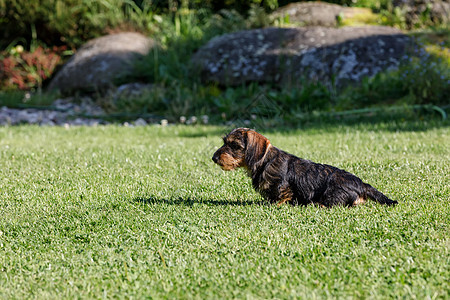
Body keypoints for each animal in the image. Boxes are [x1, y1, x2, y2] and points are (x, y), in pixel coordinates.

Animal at [213, 127, 400, 207]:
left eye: (234, 145)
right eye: (224, 142)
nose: (214, 158)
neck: (265, 161)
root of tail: (362, 184)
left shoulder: (283, 187)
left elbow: (282, 196)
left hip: (332, 194)